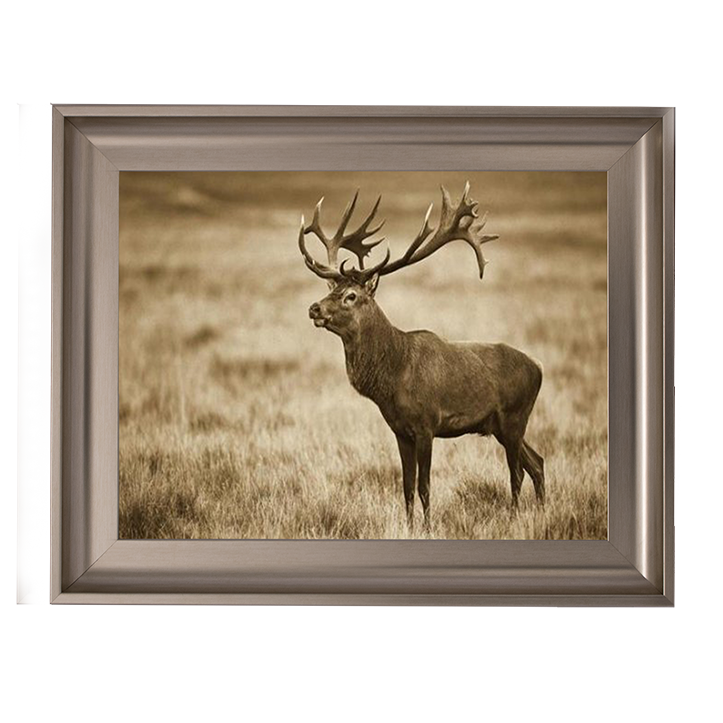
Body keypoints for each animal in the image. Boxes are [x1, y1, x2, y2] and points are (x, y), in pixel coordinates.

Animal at [299, 183, 545, 531]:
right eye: (330, 289)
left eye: (351, 296)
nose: (314, 308)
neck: (392, 378)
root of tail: (539, 369)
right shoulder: (400, 431)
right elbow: (406, 486)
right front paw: (409, 525)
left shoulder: (427, 424)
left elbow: (425, 485)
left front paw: (427, 528)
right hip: (501, 425)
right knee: (537, 462)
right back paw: (542, 512)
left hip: (514, 416)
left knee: (517, 472)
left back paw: (514, 518)